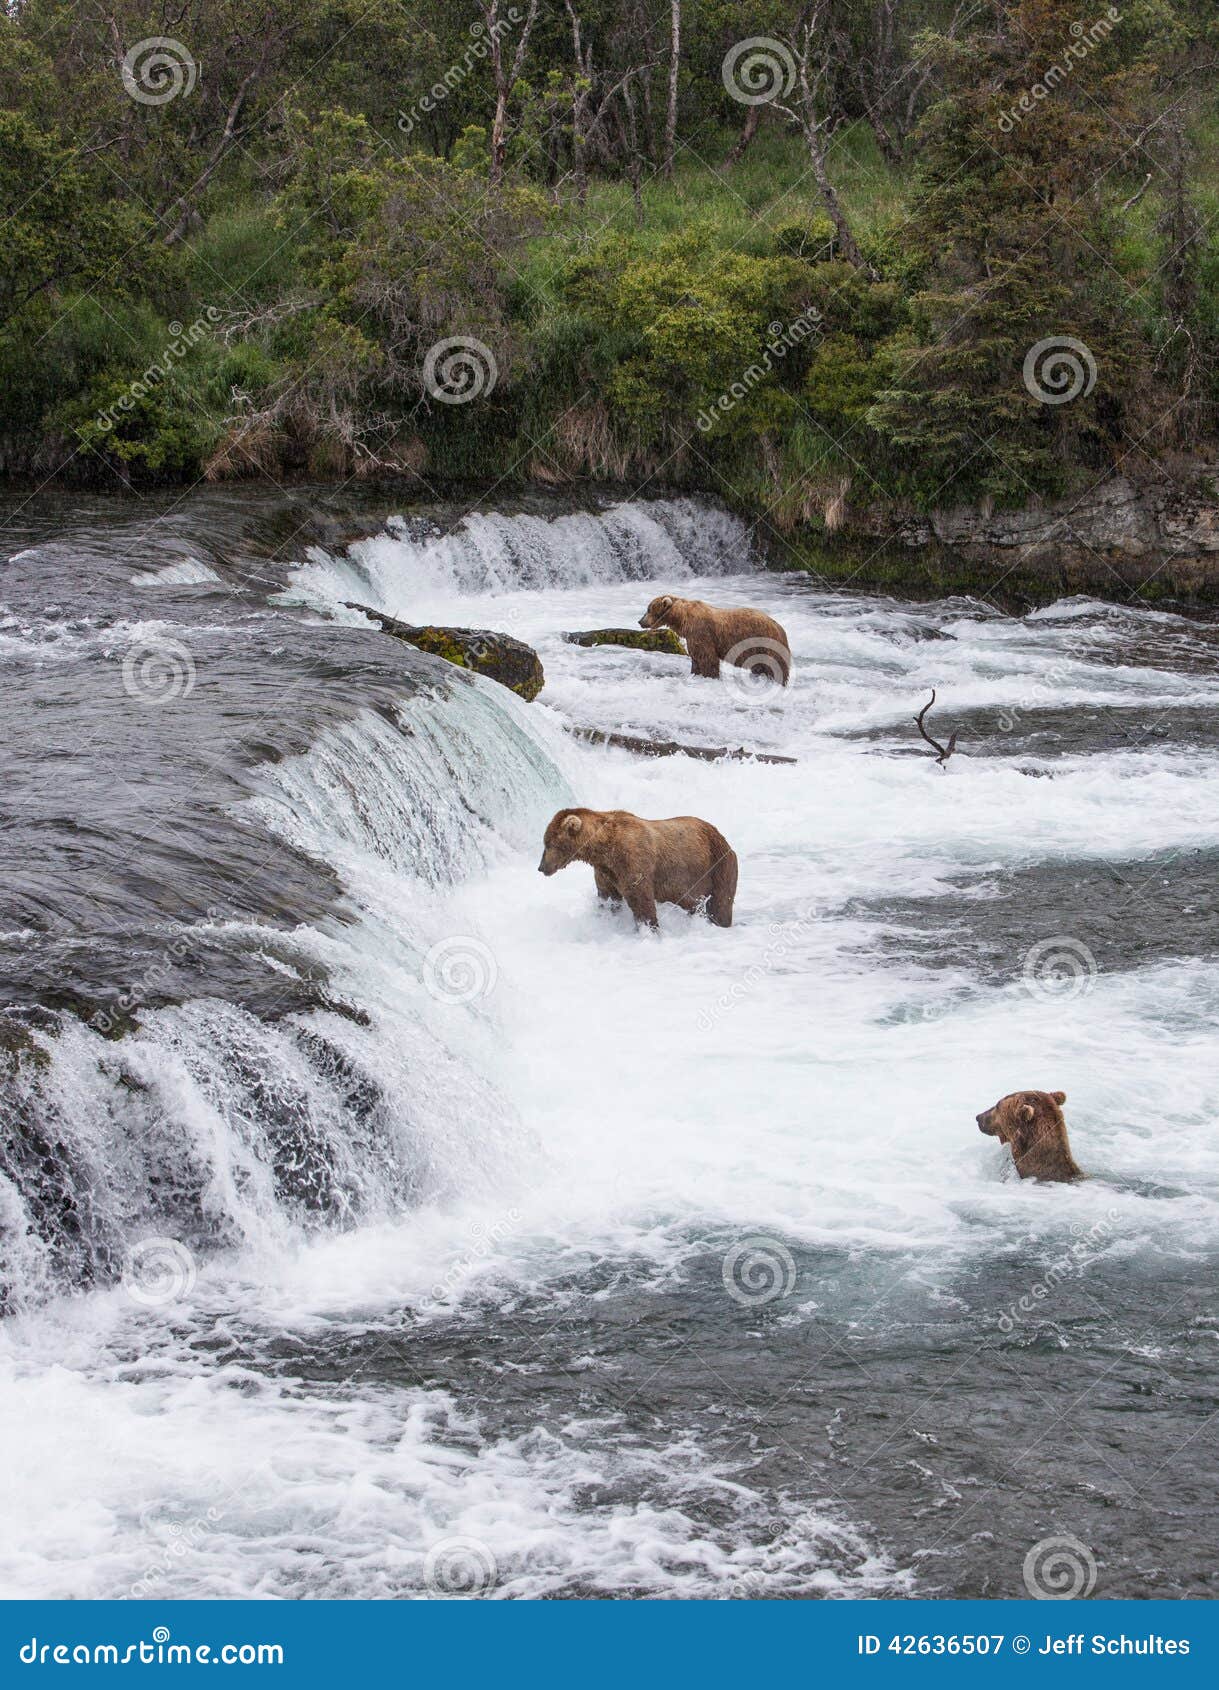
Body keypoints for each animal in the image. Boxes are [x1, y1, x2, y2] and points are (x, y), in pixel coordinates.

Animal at [537, 801, 737, 926]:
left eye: (548, 843)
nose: (541, 867)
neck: (604, 849)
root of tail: (720, 835)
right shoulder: (605, 872)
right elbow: (607, 897)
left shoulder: (633, 862)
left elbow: (641, 901)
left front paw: (648, 930)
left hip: (718, 867)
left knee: (721, 904)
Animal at [632, 598, 794, 682]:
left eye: (648, 609)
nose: (640, 621)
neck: (682, 618)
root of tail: (780, 628)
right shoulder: (693, 637)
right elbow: (696, 657)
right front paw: (695, 672)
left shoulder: (701, 633)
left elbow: (707, 657)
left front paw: (709, 675)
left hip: (765, 644)